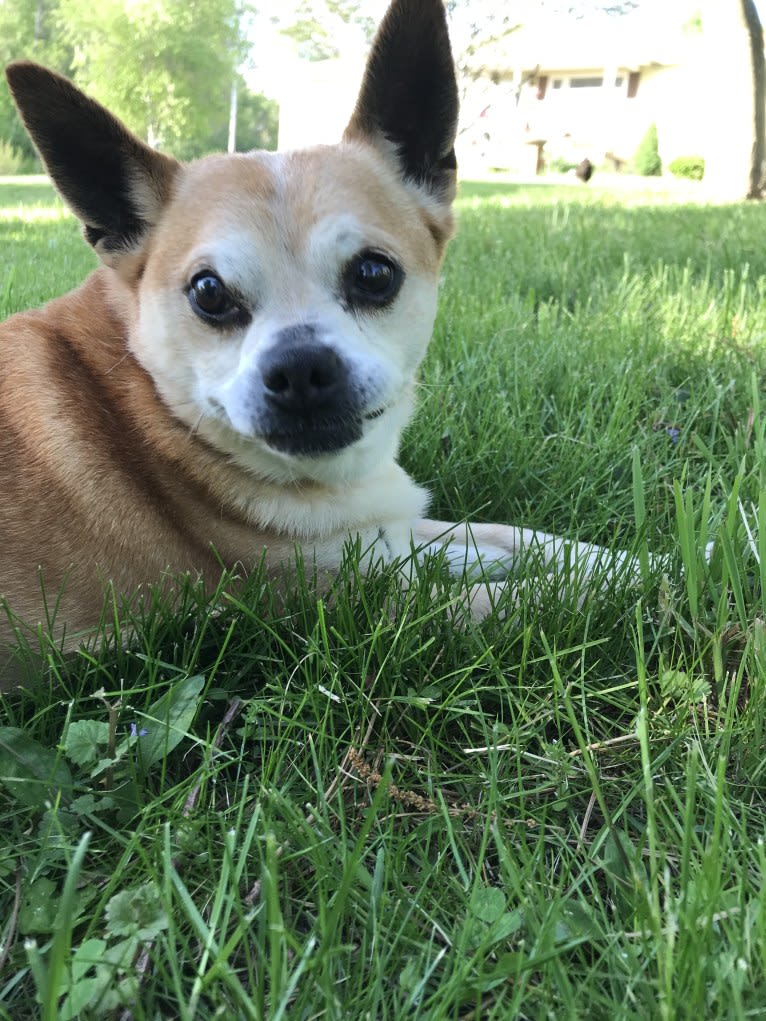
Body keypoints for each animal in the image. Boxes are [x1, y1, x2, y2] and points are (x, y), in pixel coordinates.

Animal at [0, 1, 620, 686]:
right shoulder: (350, 603)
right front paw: (642, 589)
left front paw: (644, 561)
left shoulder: (389, 534)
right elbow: (538, 595)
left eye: (374, 273)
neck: (146, 414)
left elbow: (519, 538)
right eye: (208, 292)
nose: (300, 369)